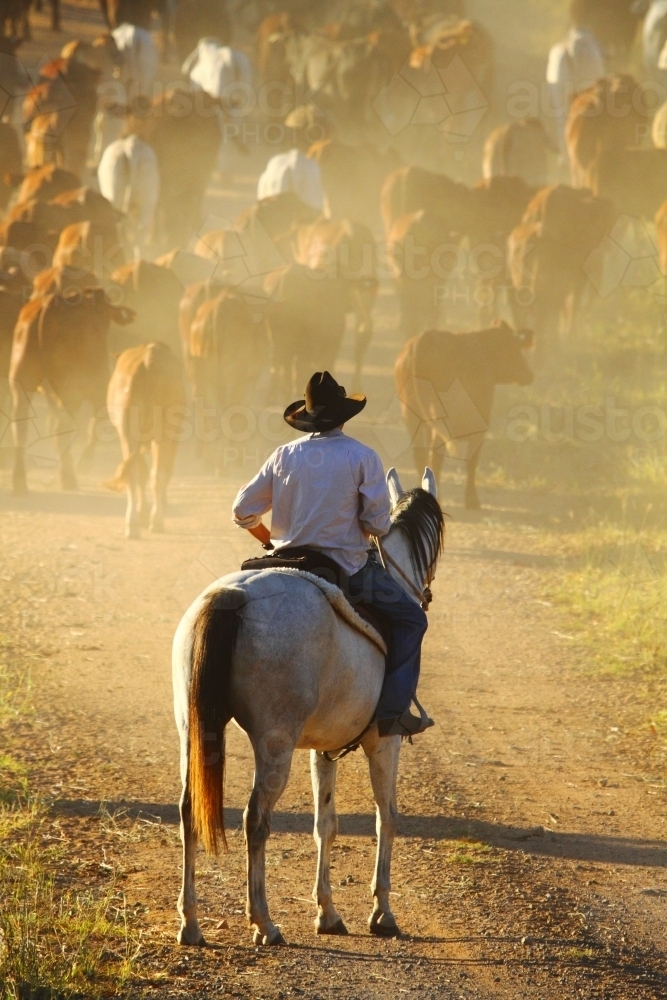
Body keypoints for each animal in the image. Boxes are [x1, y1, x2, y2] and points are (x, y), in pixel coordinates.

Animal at [9, 288, 135, 493]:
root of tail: (48, 304)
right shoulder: (99, 387)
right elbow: (98, 423)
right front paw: (85, 463)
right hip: (70, 391)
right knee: (62, 428)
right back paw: (68, 478)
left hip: (21, 384)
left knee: (21, 426)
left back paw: (20, 483)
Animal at [105, 341, 185, 538]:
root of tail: (150, 357)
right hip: (163, 431)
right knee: (156, 474)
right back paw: (154, 520)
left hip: (130, 433)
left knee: (135, 474)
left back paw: (133, 524)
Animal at [172, 467, 444, 947]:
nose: (426, 594)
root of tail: (232, 598)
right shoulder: (385, 742)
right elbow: (386, 818)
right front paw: (382, 912)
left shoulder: (324, 749)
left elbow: (326, 824)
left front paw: (328, 912)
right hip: (275, 742)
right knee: (256, 818)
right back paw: (263, 921)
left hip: (191, 727)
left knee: (189, 811)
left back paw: (190, 922)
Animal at [395, 322, 534, 509]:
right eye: (513, 348)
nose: (529, 375)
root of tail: (424, 339)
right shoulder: (480, 425)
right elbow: (472, 461)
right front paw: (472, 500)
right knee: (435, 457)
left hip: (412, 416)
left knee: (421, 455)